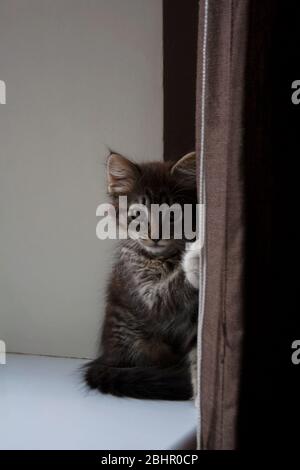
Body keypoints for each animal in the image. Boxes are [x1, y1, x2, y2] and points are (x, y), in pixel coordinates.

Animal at [84, 151, 200, 400]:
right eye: (137, 215)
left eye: (172, 216)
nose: (155, 236)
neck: (163, 258)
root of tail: (107, 358)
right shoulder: (145, 293)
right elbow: (172, 288)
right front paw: (196, 253)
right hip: (141, 345)